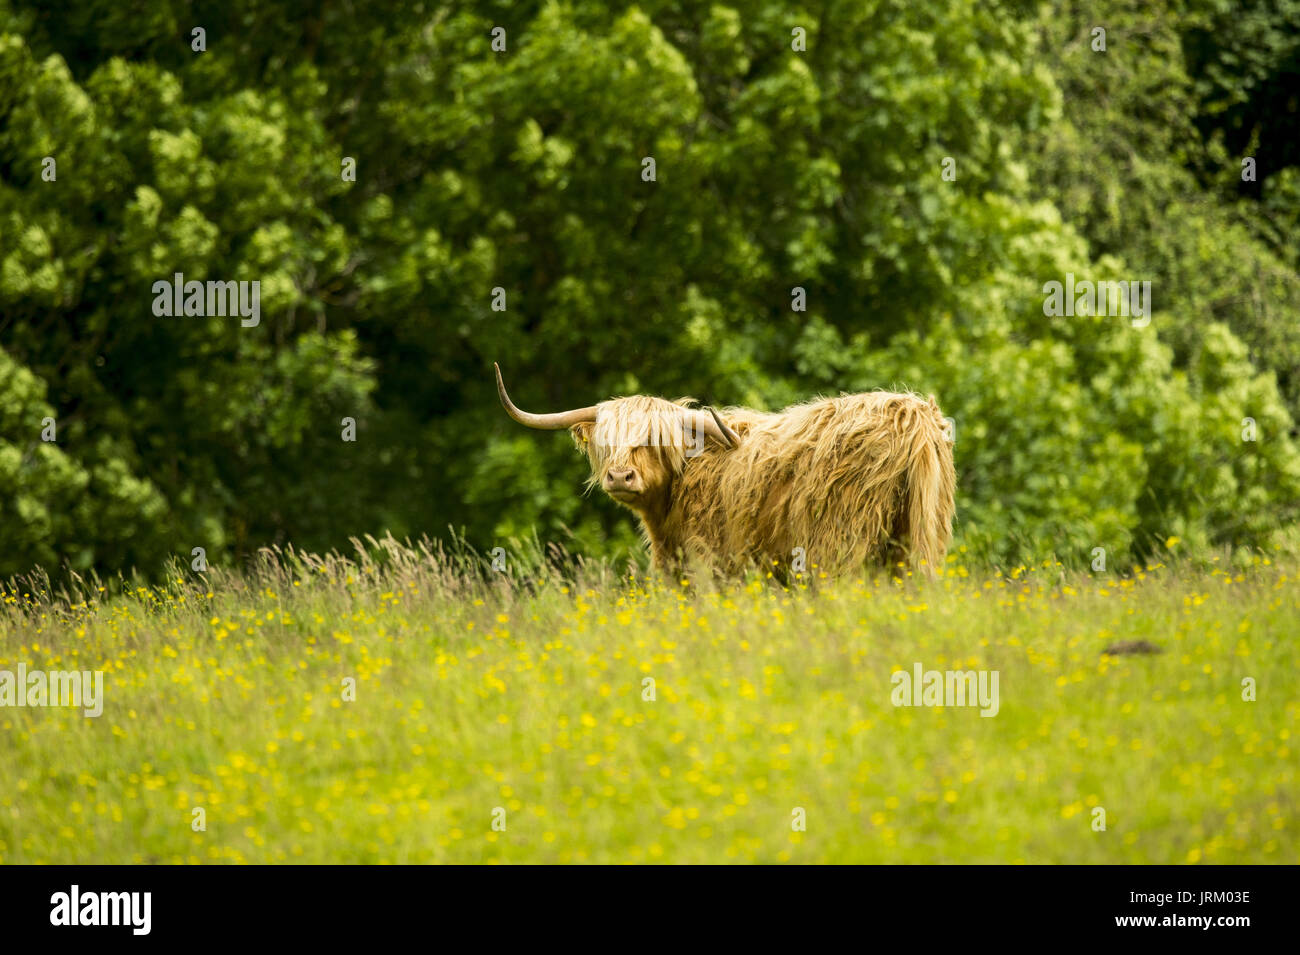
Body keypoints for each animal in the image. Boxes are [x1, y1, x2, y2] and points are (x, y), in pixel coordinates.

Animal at [495, 363, 956, 578]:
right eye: (607, 441)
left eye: (655, 440)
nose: (620, 477)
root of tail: (910, 413)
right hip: (921, 540)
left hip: (837, 548)